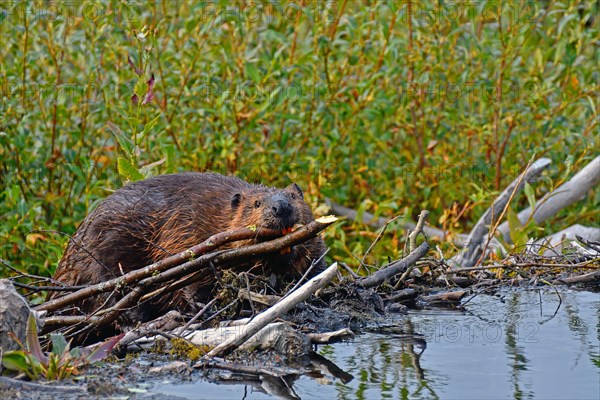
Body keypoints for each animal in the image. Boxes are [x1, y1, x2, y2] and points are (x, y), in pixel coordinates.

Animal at [48, 172, 326, 324]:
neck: (219, 215)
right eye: (256, 203)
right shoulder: (188, 230)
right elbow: (191, 276)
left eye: (293, 197)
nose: (281, 207)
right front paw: (204, 305)